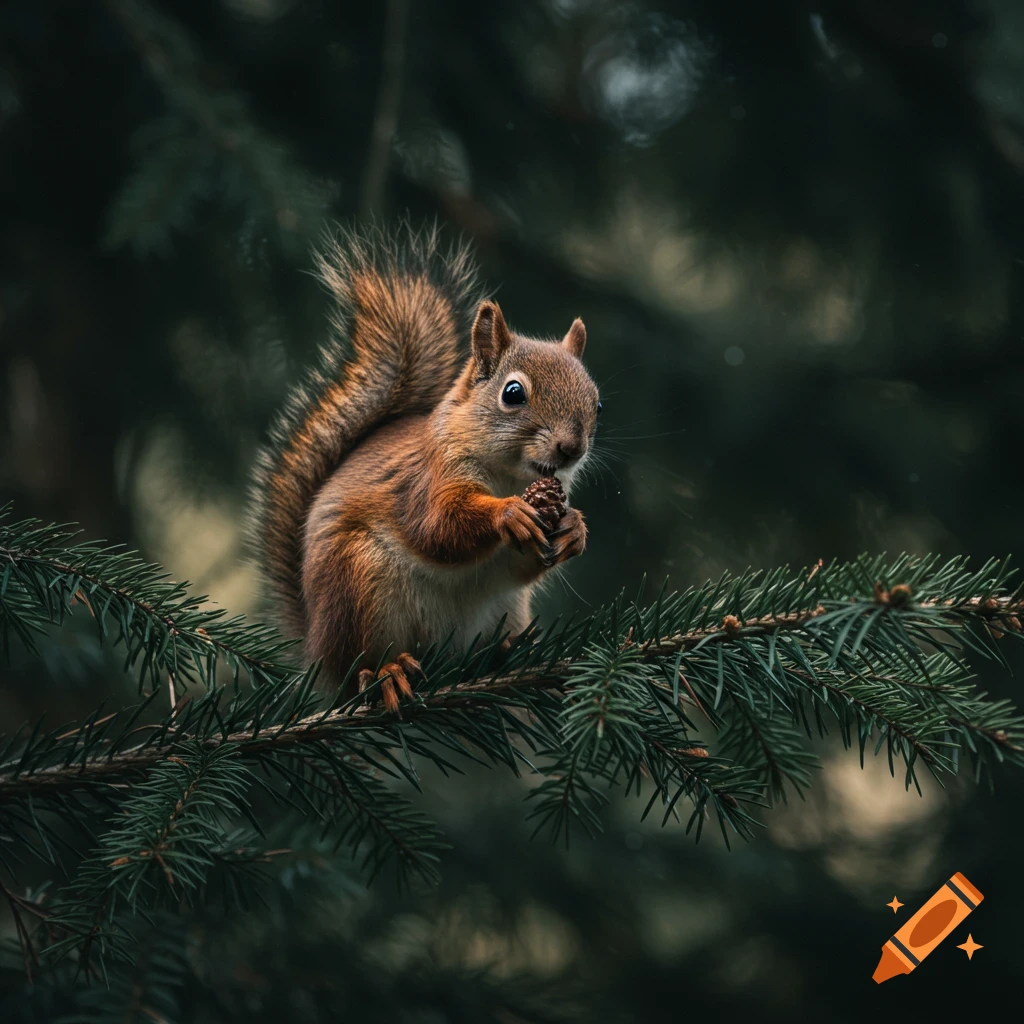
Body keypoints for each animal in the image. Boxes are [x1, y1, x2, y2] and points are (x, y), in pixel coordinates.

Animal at [249, 223, 600, 711]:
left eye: (597, 403)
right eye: (513, 393)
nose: (571, 449)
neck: (510, 475)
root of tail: (316, 650)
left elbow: (518, 565)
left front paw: (574, 528)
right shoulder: (428, 478)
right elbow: (438, 527)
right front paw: (508, 513)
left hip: (505, 608)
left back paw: (508, 651)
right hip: (359, 584)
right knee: (359, 666)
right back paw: (386, 673)